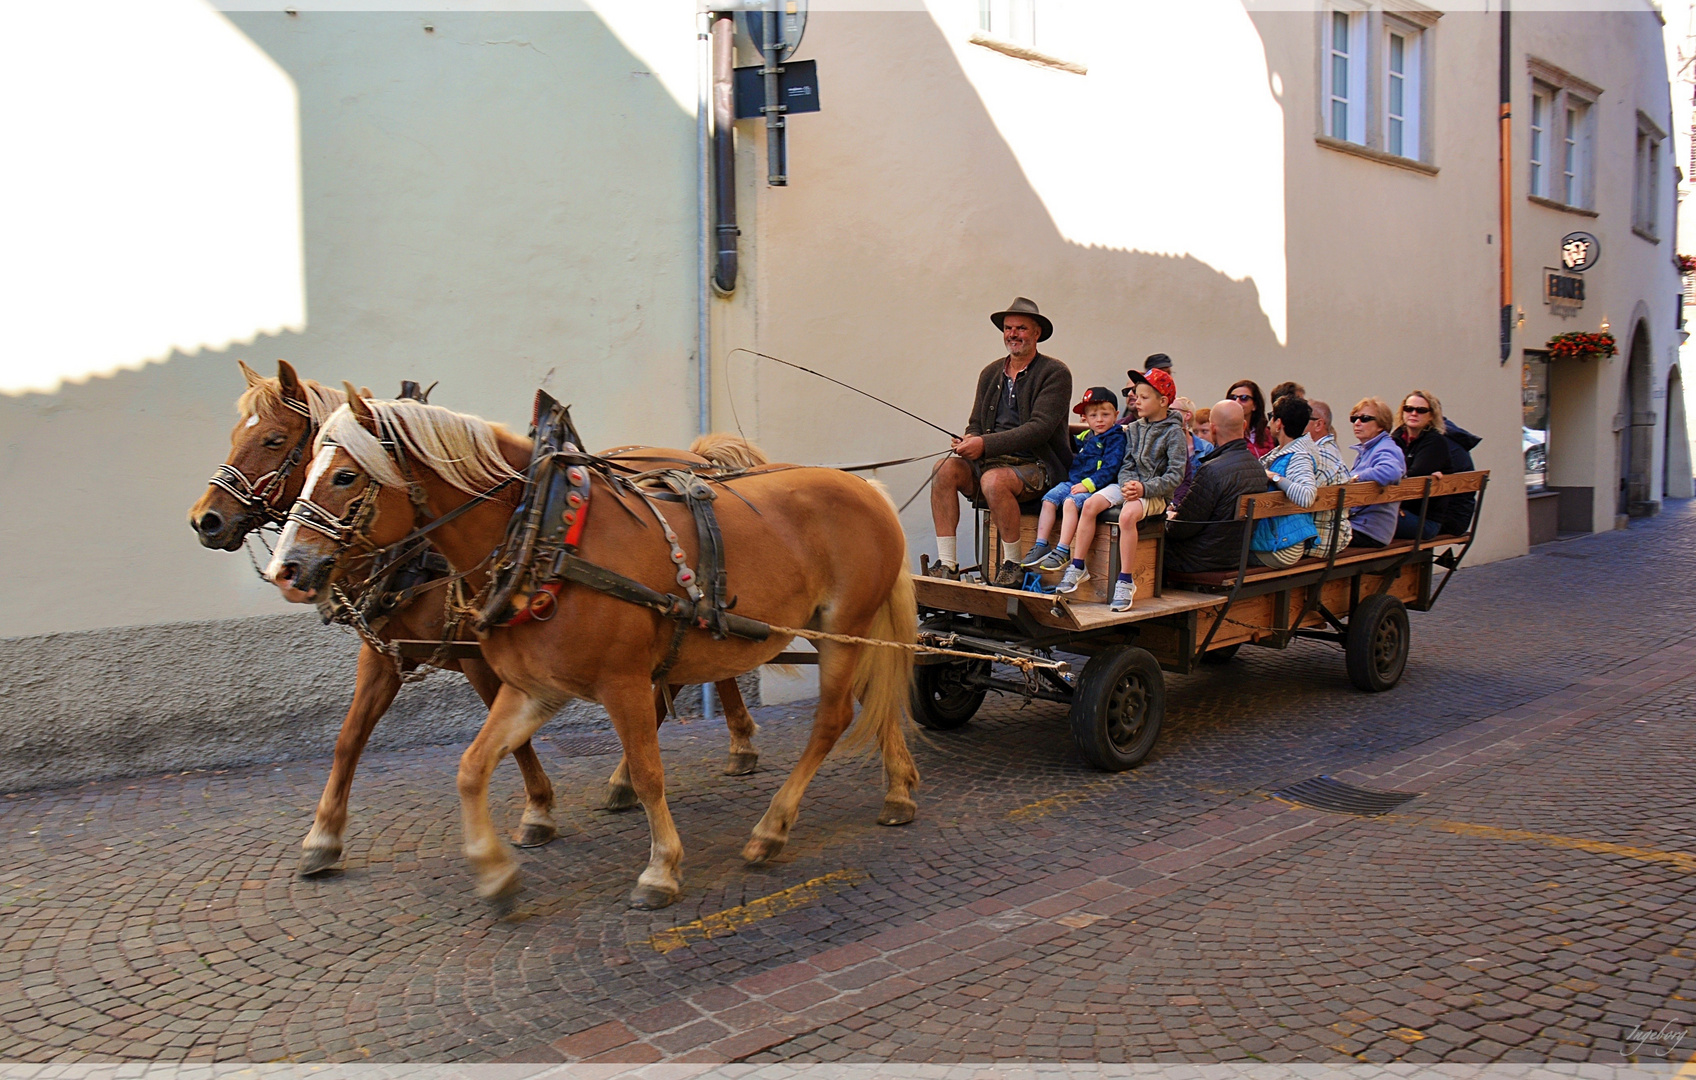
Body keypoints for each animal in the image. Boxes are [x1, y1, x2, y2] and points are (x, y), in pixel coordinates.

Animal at [189, 359, 766, 874]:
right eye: (307, 465)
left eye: (274, 440)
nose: (205, 519)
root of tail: (694, 456)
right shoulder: (385, 654)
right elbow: (349, 738)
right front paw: (323, 837)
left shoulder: (481, 657)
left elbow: (514, 735)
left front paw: (538, 810)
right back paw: (671, 764)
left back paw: (720, 749)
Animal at [266, 389, 922, 908]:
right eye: (308, 464)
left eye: (346, 475)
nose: (287, 568)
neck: (542, 535)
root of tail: (864, 486)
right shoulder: (532, 688)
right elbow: (471, 766)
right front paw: (494, 868)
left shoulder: (621, 682)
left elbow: (650, 770)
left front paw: (660, 868)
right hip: (842, 630)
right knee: (875, 694)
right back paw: (896, 789)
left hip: (843, 625)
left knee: (831, 719)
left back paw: (773, 828)